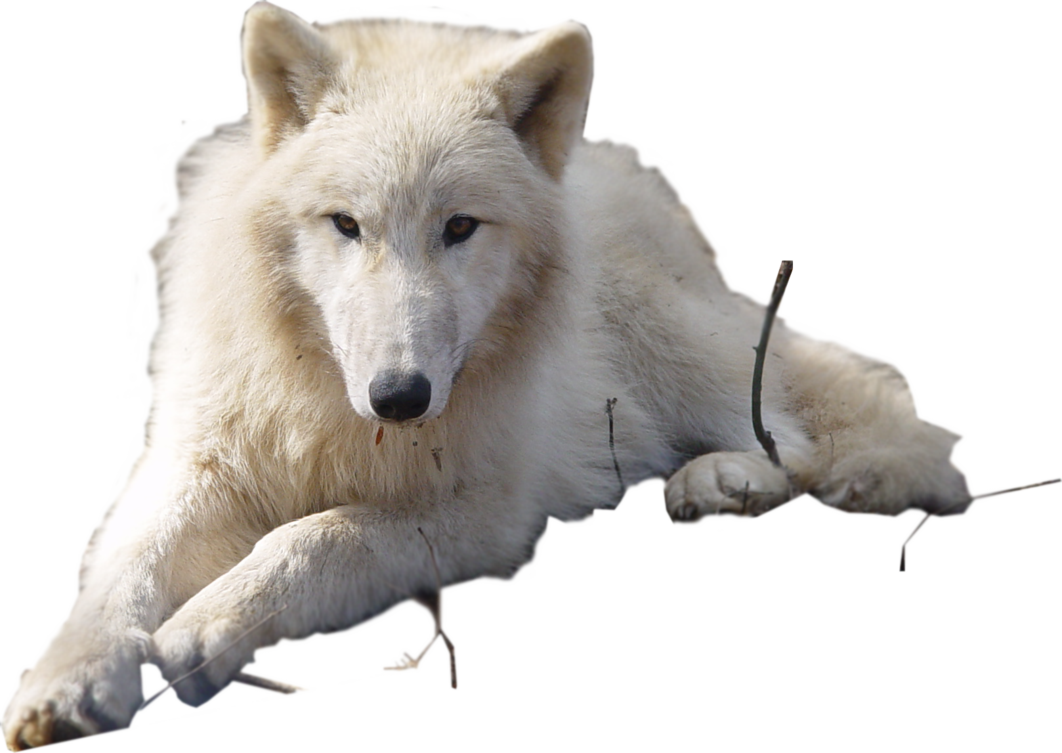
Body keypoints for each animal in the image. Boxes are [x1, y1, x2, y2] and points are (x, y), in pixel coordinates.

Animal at [2, 3, 975, 748]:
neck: (332, 407)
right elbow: (120, 566)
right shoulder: (199, 463)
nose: (401, 396)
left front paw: (206, 624)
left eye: (460, 227)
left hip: (663, 337)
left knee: (793, 426)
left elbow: (317, 537)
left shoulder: (484, 507)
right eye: (346, 224)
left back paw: (727, 480)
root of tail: (632, 166)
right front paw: (67, 681)